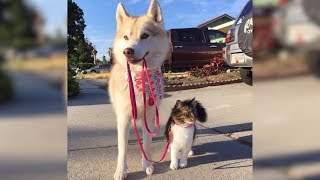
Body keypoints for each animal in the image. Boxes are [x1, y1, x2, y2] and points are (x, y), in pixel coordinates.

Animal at [109, 0, 170, 179]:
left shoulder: (149, 117)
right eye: (126, 37)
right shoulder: (123, 118)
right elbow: (122, 150)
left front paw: (147, 164)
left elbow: (147, 144)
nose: (127, 51)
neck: (138, 78)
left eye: (145, 36)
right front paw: (121, 171)